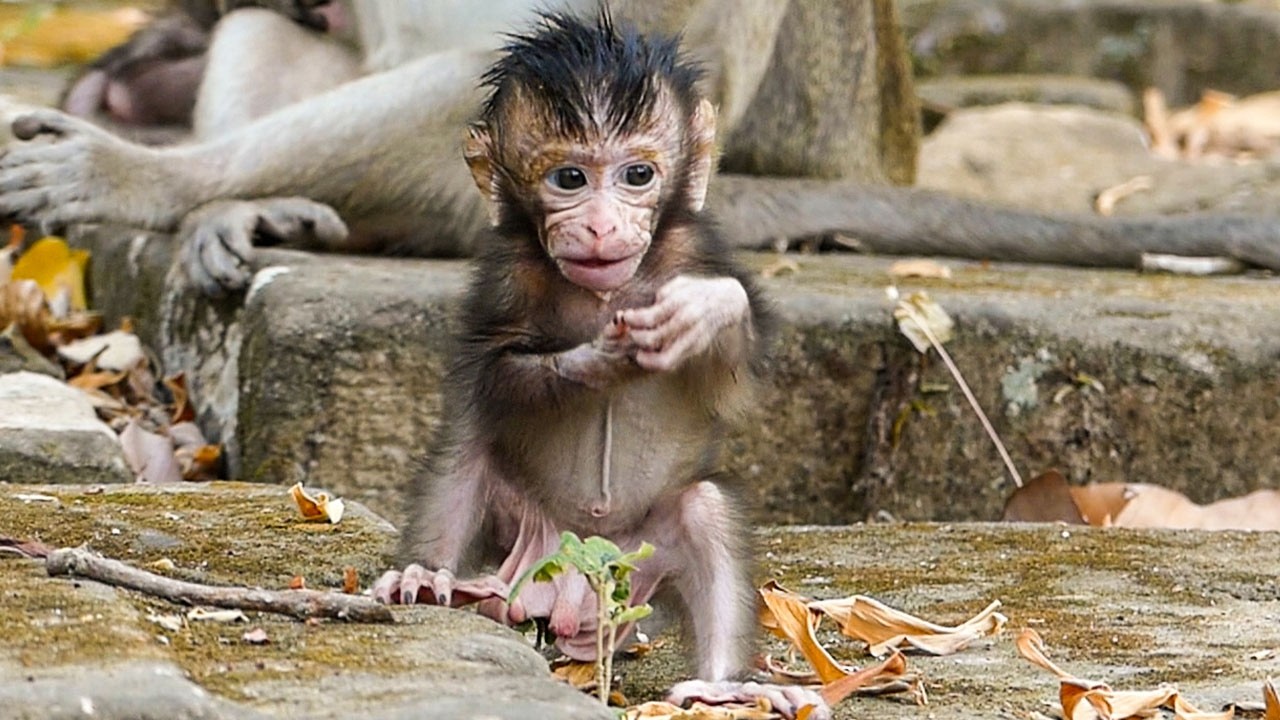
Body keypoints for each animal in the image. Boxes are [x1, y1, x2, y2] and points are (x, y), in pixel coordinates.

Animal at [366, 12, 827, 718]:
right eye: (570, 180)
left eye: (637, 175)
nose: (604, 227)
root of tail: (574, 589)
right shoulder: (508, 275)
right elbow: (495, 379)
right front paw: (600, 359)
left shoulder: (693, 249)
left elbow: (731, 381)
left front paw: (703, 312)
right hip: (529, 539)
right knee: (472, 451)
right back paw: (430, 578)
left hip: (638, 562)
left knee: (704, 509)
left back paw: (724, 685)